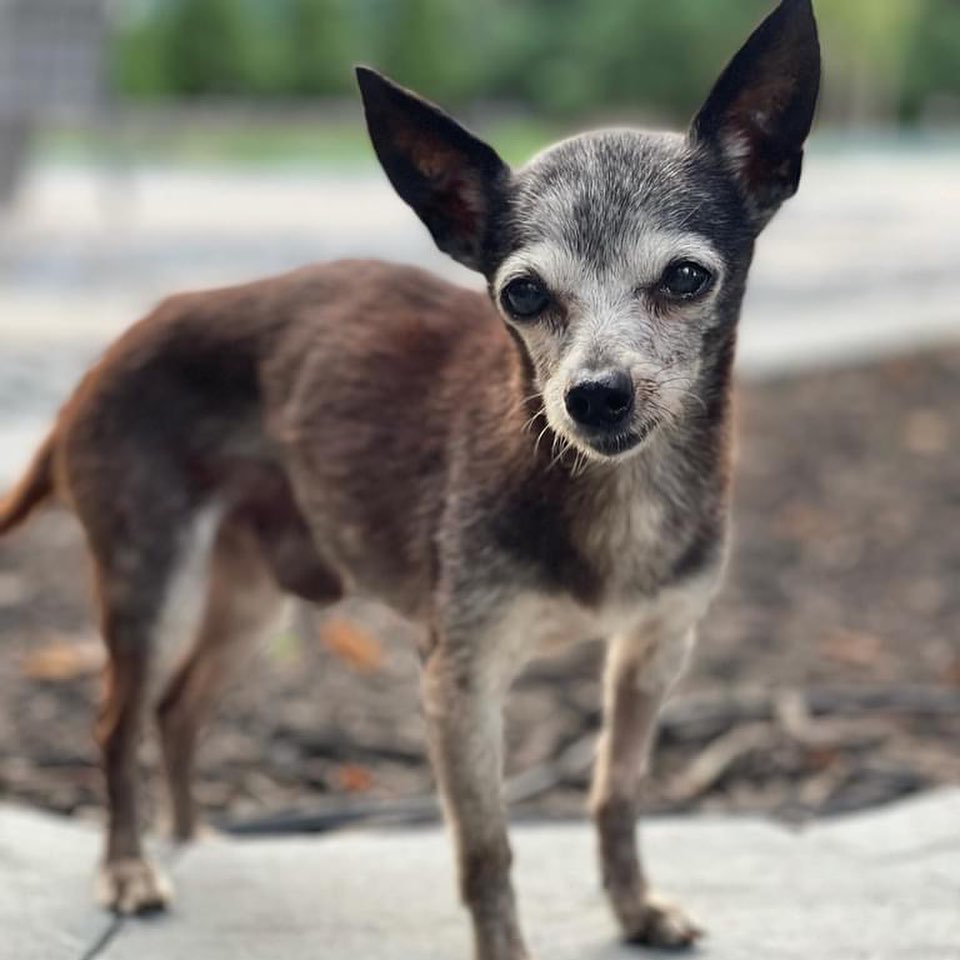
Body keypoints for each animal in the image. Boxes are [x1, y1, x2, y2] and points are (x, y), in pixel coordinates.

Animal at [0, 3, 816, 956]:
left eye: (686, 278)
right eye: (523, 295)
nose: (594, 396)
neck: (610, 488)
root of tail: (106, 356)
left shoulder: (654, 652)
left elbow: (615, 791)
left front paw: (634, 908)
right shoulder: (459, 684)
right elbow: (488, 852)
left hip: (250, 600)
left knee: (176, 711)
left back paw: (193, 841)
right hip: (152, 587)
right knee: (117, 722)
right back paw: (130, 868)